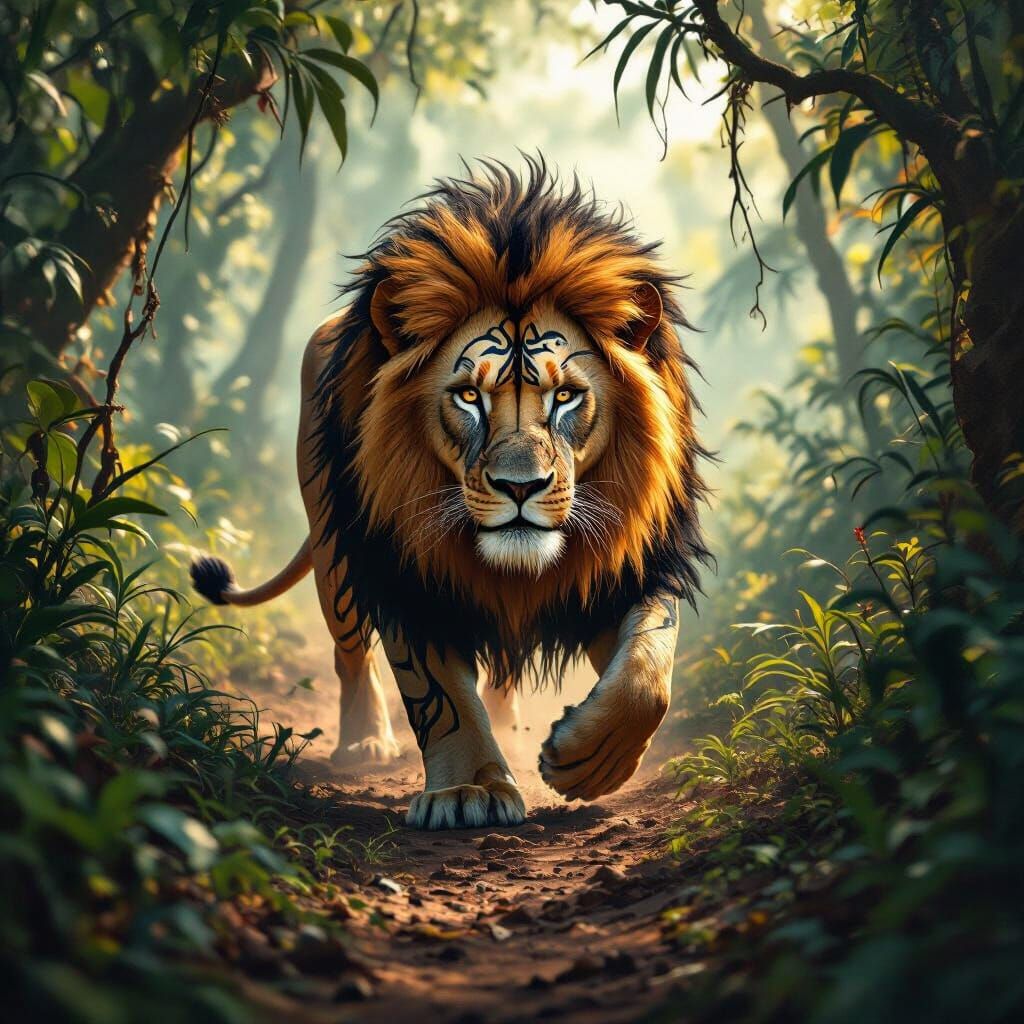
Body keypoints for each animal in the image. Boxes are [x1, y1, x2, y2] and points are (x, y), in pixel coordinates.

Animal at [191, 158, 708, 830]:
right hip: (333, 549)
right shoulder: (406, 569)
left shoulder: (628, 567)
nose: (521, 486)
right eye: (468, 397)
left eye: (566, 396)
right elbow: (443, 696)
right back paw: (365, 742)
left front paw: (590, 761)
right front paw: (470, 790)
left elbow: (648, 672)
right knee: (350, 651)